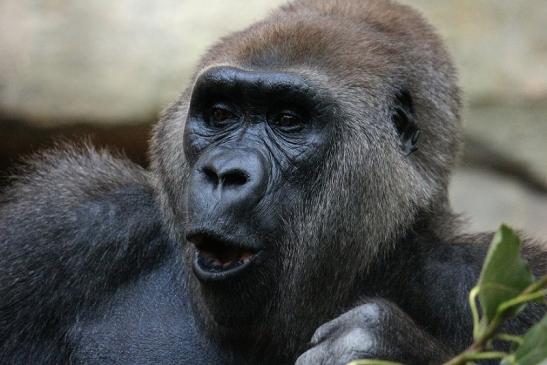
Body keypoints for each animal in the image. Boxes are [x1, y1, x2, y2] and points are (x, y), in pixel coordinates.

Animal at [1, 0, 547, 364]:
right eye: (220, 114)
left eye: (288, 121)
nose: (225, 174)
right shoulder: (63, 226)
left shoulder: (507, 286)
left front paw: (387, 346)